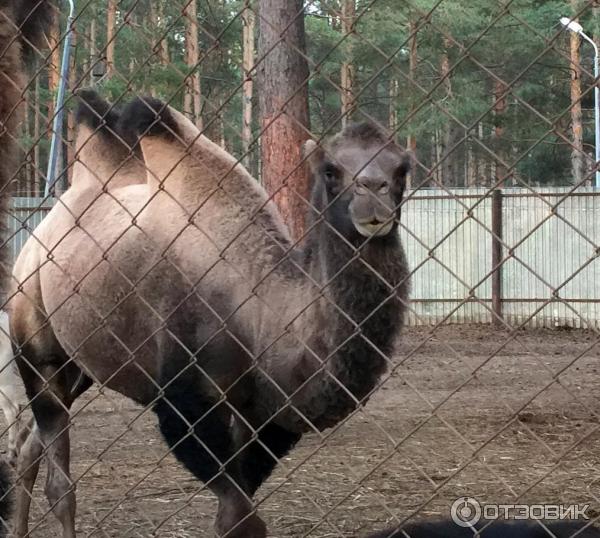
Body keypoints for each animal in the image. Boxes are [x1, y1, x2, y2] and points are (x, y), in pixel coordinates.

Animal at [10, 93, 412, 536]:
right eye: (330, 171)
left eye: (402, 169)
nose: (373, 194)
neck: (256, 308)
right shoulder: (184, 398)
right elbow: (239, 516)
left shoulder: (262, 413)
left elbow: (234, 510)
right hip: (35, 336)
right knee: (59, 479)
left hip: (81, 364)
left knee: (30, 446)